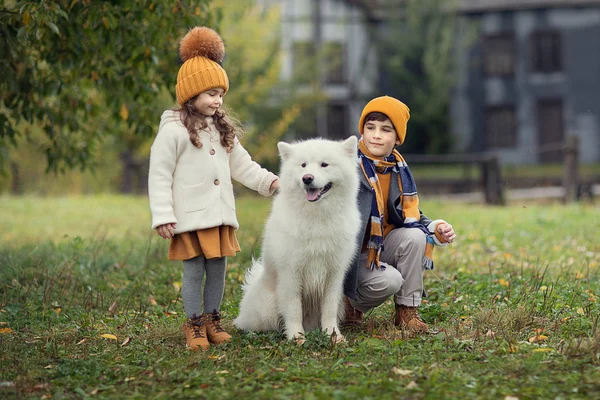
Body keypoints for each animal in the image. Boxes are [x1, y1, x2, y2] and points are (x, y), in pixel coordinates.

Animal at [236, 136, 360, 342]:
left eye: (324, 164)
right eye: (303, 165)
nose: (307, 178)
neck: (317, 217)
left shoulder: (334, 273)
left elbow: (329, 308)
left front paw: (333, 335)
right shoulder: (291, 272)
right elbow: (294, 309)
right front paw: (297, 337)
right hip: (268, 308)